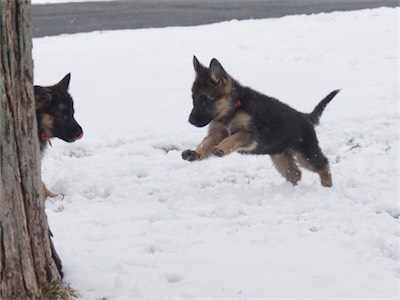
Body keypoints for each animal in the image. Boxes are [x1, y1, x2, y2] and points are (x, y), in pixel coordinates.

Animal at [183, 56, 340, 188]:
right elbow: (205, 144)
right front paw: (195, 153)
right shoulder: (216, 134)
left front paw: (220, 148)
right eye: (193, 99)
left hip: (305, 154)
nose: (190, 121)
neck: (233, 108)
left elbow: (231, 138)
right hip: (280, 157)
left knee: (323, 164)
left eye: (205, 100)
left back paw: (327, 186)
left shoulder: (248, 135)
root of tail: (306, 116)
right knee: (295, 173)